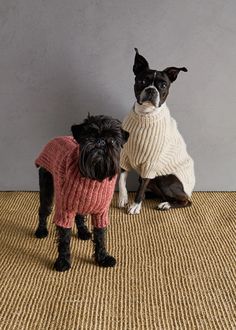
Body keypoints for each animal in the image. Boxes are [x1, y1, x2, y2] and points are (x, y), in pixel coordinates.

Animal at [119, 48, 195, 214]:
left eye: (163, 85)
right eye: (142, 81)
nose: (151, 90)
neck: (144, 115)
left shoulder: (150, 163)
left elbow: (141, 187)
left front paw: (135, 205)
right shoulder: (124, 155)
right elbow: (121, 179)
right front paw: (122, 198)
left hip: (164, 178)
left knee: (186, 201)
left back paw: (166, 204)